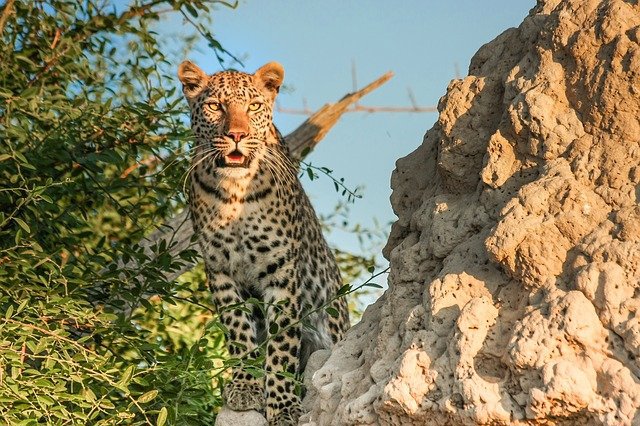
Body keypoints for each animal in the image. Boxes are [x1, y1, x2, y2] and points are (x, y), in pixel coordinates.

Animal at [177, 60, 350, 425]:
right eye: (215, 106)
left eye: (254, 107)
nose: (237, 136)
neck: (234, 193)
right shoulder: (220, 270)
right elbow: (238, 330)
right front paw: (245, 387)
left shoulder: (281, 269)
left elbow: (282, 341)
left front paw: (283, 405)